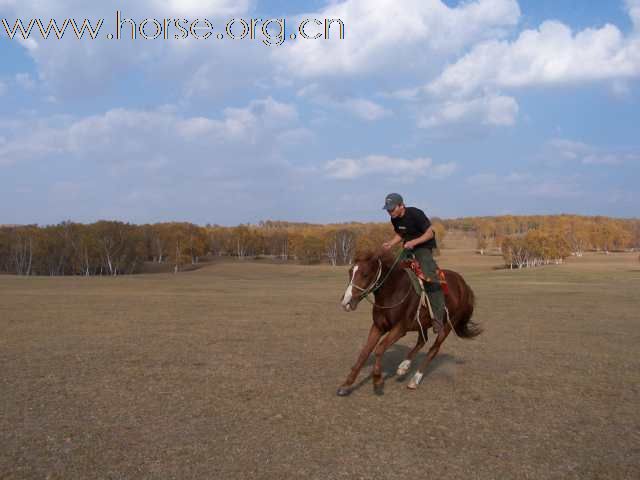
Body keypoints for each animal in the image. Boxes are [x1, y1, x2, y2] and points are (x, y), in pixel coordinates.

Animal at [340, 249, 480, 396]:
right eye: (350, 272)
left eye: (365, 274)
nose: (346, 302)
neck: (393, 290)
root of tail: (464, 285)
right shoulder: (378, 326)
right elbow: (365, 352)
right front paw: (346, 385)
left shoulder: (400, 329)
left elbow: (379, 349)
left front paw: (377, 380)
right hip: (422, 323)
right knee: (422, 341)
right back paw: (404, 366)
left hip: (447, 324)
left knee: (433, 349)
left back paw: (415, 379)